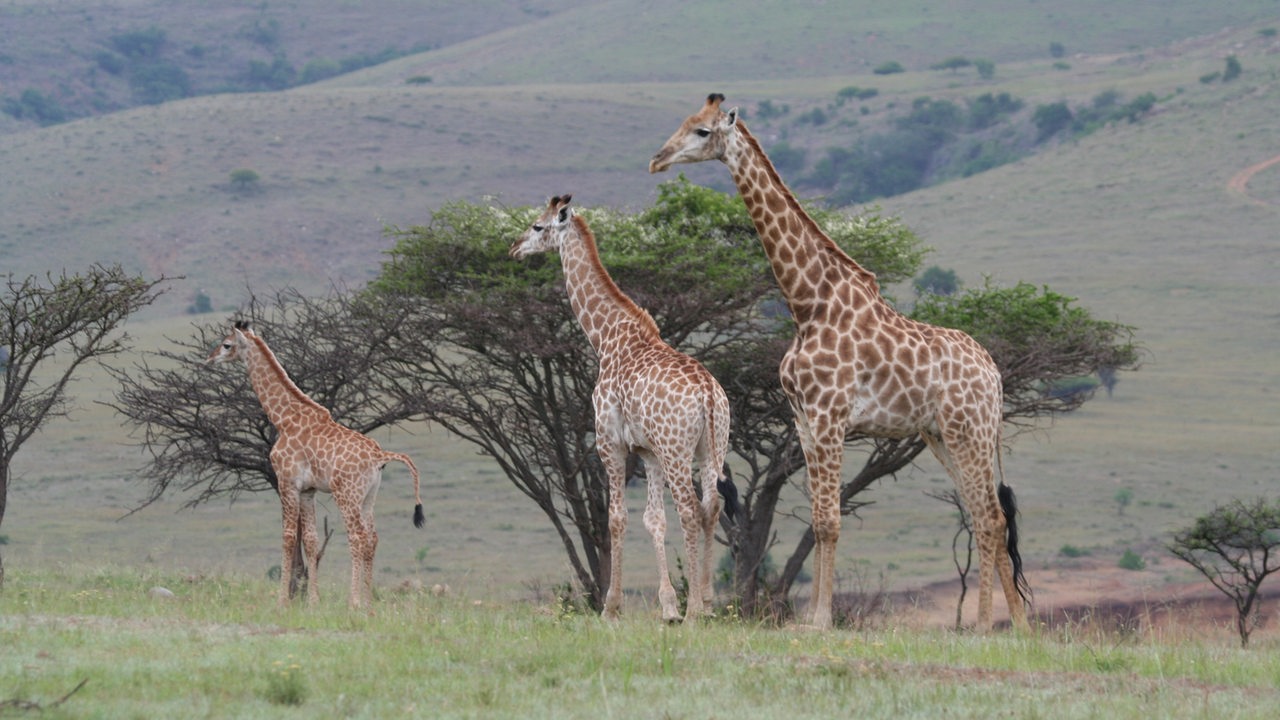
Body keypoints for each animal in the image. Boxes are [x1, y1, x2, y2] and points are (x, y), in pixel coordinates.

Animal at [207, 319, 427, 604]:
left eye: (226, 344)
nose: (209, 358)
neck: (284, 418)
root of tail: (380, 456)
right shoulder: (308, 490)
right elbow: (310, 540)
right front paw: (314, 601)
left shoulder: (287, 482)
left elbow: (289, 537)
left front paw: (283, 601)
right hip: (368, 496)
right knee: (372, 538)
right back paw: (368, 602)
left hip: (346, 494)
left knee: (357, 537)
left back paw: (354, 602)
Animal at [509, 193, 732, 620]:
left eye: (537, 226)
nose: (514, 249)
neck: (607, 338)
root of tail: (708, 393)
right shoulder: (648, 452)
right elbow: (653, 519)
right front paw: (668, 607)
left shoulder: (608, 442)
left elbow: (616, 518)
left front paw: (611, 608)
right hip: (712, 445)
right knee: (713, 504)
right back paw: (709, 604)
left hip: (678, 450)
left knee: (690, 509)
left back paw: (696, 609)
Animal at [650, 94, 1029, 627]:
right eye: (684, 122)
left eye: (702, 131)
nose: (657, 160)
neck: (808, 303)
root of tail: (994, 373)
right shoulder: (806, 422)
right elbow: (816, 519)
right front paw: (811, 617)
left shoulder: (831, 417)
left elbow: (829, 522)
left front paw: (822, 620)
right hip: (941, 435)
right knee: (985, 514)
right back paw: (1021, 627)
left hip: (968, 431)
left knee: (991, 516)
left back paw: (983, 627)